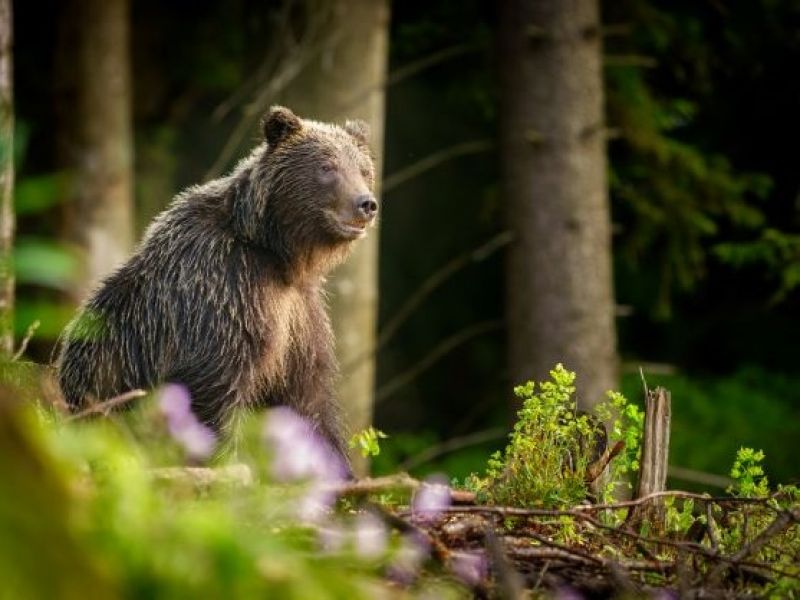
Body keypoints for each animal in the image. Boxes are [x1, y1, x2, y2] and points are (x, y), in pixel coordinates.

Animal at [56, 106, 378, 464]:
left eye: (364, 169)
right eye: (327, 167)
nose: (366, 203)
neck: (275, 251)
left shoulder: (298, 314)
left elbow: (309, 398)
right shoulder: (224, 287)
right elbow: (215, 388)